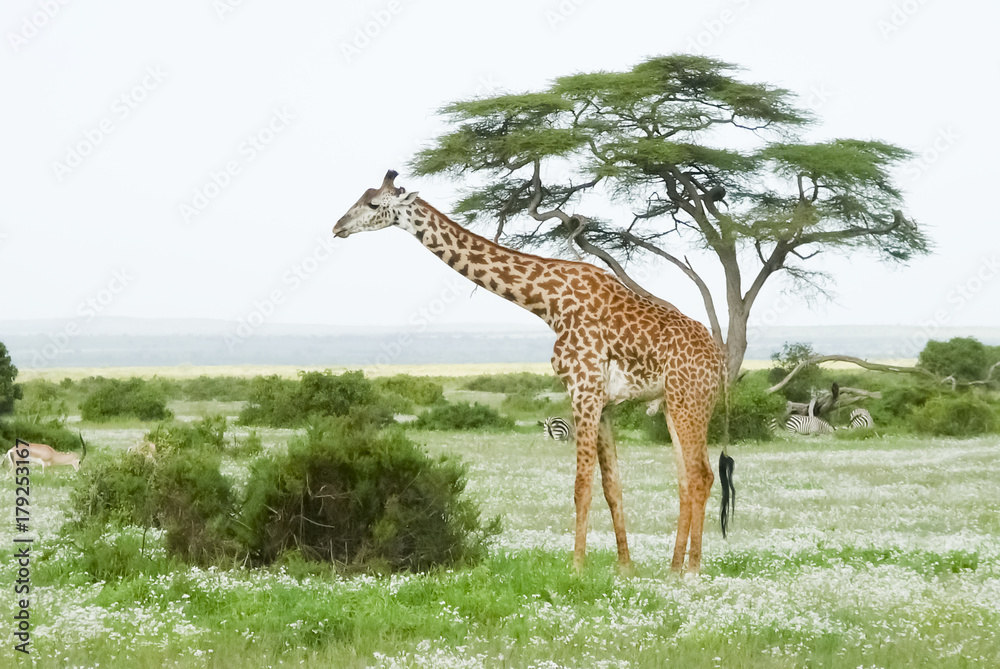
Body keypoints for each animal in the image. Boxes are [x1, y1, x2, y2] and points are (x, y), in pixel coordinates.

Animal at [333, 170, 724, 573]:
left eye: (373, 204)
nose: (338, 227)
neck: (548, 302)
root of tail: (720, 359)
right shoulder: (602, 401)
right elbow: (611, 487)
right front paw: (624, 569)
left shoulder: (582, 388)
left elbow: (581, 485)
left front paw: (577, 567)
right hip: (671, 404)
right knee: (685, 478)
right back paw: (674, 569)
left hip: (690, 400)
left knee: (701, 475)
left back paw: (692, 570)